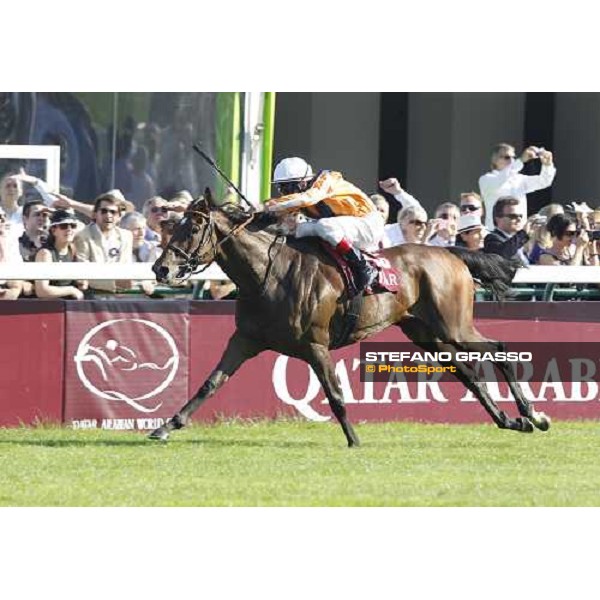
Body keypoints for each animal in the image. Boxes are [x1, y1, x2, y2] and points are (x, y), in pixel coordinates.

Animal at [148, 192, 552, 446]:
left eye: (192, 229)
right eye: (172, 226)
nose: (160, 268)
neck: (269, 273)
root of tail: (451, 253)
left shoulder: (315, 345)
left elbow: (336, 394)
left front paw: (354, 440)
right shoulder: (245, 340)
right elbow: (209, 384)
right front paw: (166, 427)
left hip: (453, 326)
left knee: (498, 348)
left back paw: (533, 414)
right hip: (427, 333)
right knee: (469, 374)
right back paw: (510, 420)